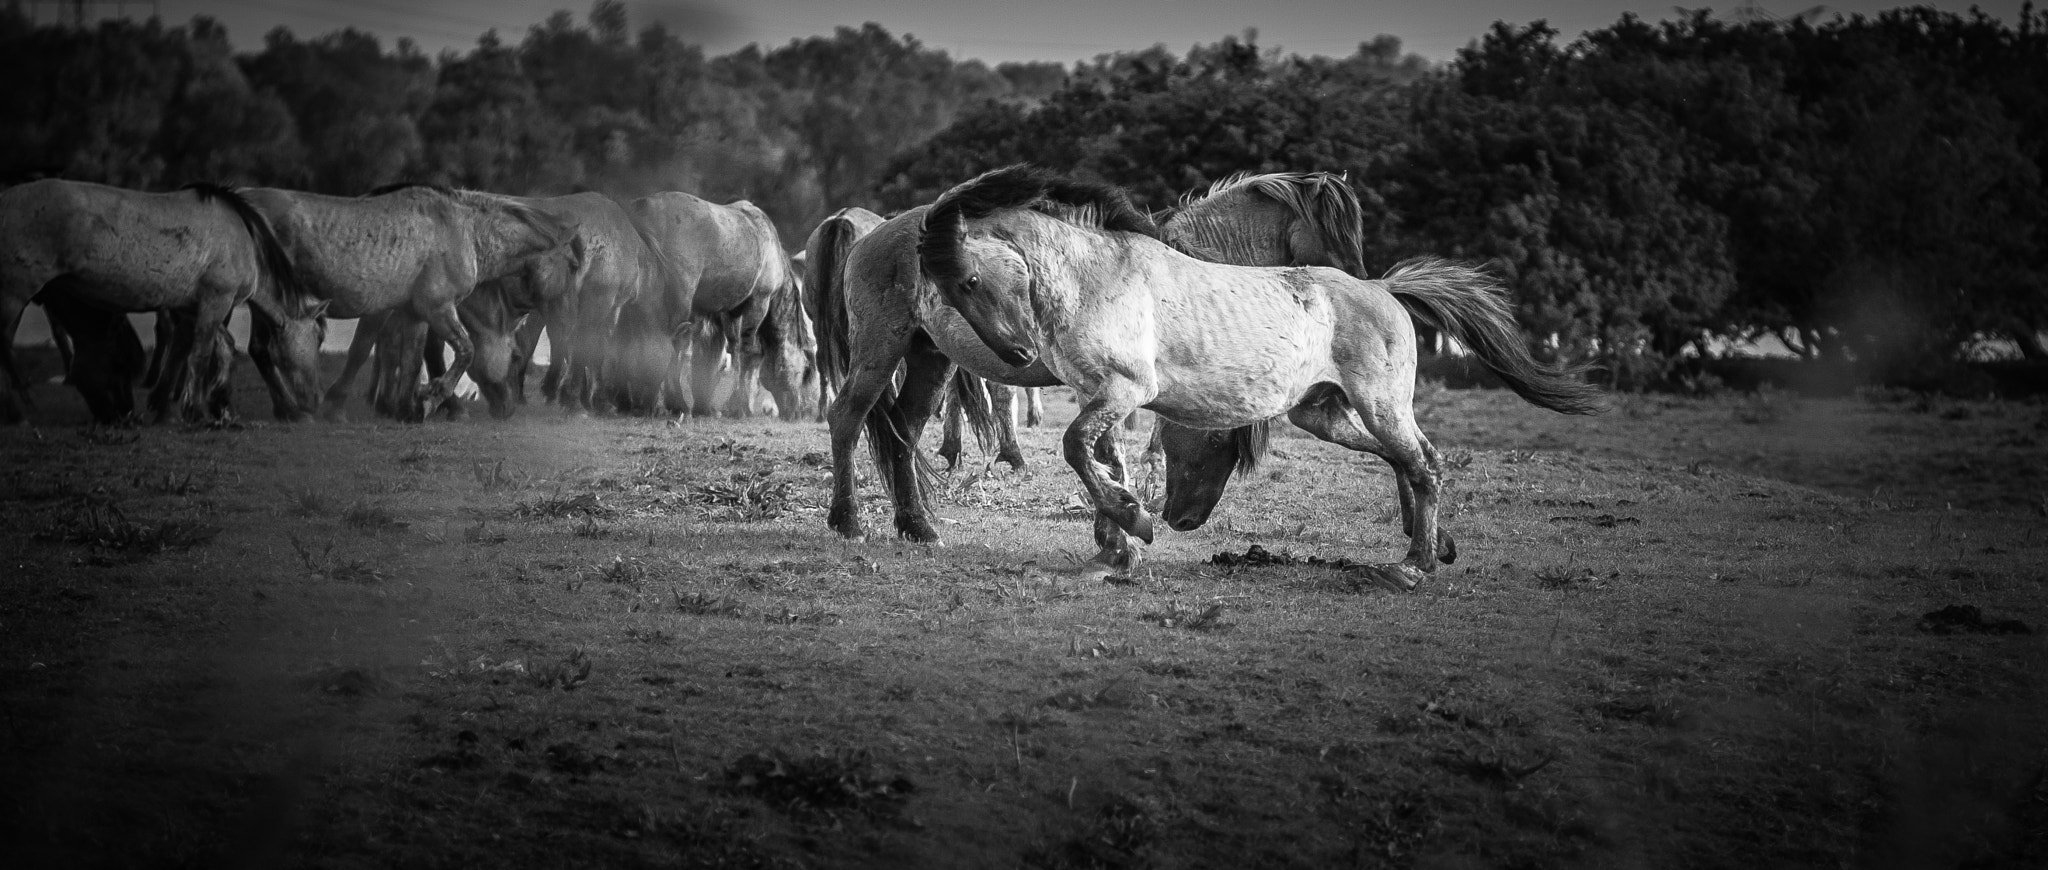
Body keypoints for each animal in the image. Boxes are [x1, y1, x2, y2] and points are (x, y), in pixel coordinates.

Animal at [0, 178, 319, 421]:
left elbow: (214, 350)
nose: (314, 402)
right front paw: (195, 412)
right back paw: (18, 414)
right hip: (14, 296)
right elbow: (200, 355)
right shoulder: (216, 302)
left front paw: (213, 407)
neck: (244, 243)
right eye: (318, 339)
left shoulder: (197, 308)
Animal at [630, 193, 806, 417]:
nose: (798, 412)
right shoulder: (758, 301)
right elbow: (748, 351)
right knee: (670, 342)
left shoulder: (729, 311)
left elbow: (728, 350)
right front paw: (741, 406)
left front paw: (712, 405)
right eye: (804, 371)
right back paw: (671, 403)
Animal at [921, 167, 1605, 589]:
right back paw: (1427, 550)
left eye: (970, 279)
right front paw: (1116, 545)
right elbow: (1097, 458)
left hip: (1378, 404)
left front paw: (1133, 526)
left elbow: (1076, 448)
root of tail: (1384, 291)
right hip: (1321, 412)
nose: (1014, 352)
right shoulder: (1099, 397)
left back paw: (1411, 567)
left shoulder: (1126, 392)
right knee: (1408, 460)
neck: (1095, 274)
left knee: (1426, 464)